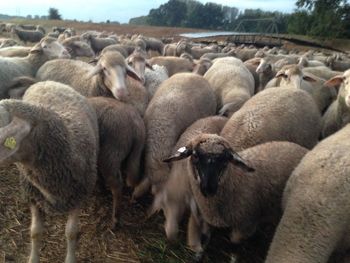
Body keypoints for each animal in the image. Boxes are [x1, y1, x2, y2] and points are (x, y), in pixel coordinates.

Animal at [0, 81, 98, 263]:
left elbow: (71, 233)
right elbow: (35, 232)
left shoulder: (78, 196)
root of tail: (50, 82)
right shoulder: (33, 196)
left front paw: (70, 259)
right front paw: (33, 258)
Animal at [150, 116, 227, 251]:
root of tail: (221, 116)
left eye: (182, 208)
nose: (171, 237)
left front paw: (195, 242)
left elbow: (195, 219)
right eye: (164, 207)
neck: (181, 174)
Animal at [163, 136, 306, 262]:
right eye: (195, 155)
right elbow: (205, 237)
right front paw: (198, 255)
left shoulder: (245, 225)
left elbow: (234, 248)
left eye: (225, 160)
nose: (209, 188)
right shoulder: (207, 217)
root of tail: (300, 148)